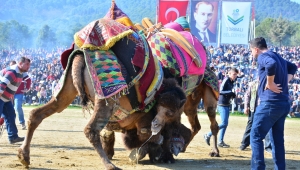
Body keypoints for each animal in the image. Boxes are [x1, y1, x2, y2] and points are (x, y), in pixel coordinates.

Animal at [17, 53, 188, 170]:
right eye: (171, 112)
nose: (157, 122)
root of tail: (81, 56)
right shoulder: (143, 122)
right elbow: (152, 137)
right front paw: (154, 153)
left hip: (66, 90)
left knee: (37, 114)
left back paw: (24, 156)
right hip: (106, 100)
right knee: (91, 130)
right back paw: (110, 165)